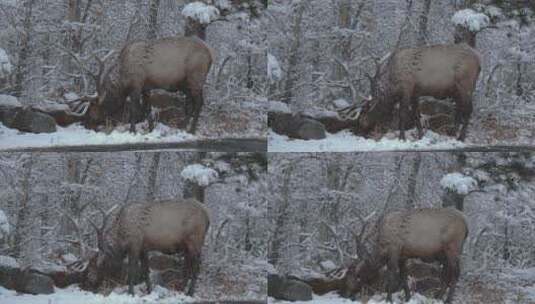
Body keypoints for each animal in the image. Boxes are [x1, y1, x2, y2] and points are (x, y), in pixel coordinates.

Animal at [73, 36, 214, 134]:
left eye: (93, 108)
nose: (85, 124)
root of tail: (211, 55)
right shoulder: (146, 88)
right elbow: (148, 109)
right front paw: (151, 129)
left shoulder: (136, 86)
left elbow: (135, 109)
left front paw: (132, 130)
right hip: (186, 84)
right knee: (190, 104)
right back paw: (183, 126)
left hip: (196, 78)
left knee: (199, 102)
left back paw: (191, 129)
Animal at [73, 198, 209, 296]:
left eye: (97, 265)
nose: (89, 285)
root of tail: (208, 215)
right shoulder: (144, 248)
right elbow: (145, 270)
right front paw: (149, 291)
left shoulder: (135, 244)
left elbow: (132, 269)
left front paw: (131, 292)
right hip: (187, 246)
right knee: (187, 265)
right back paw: (181, 289)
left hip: (195, 241)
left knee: (197, 266)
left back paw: (190, 293)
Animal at [342, 42, 484, 141]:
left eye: (362, 116)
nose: (355, 131)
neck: (393, 86)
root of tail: (479, 60)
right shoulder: (416, 92)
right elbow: (416, 114)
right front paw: (420, 135)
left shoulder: (407, 88)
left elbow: (403, 114)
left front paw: (402, 137)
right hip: (457, 89)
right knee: (459, 109)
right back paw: (452, 133)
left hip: (465, 84)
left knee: (468, 109)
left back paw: (461, 137)